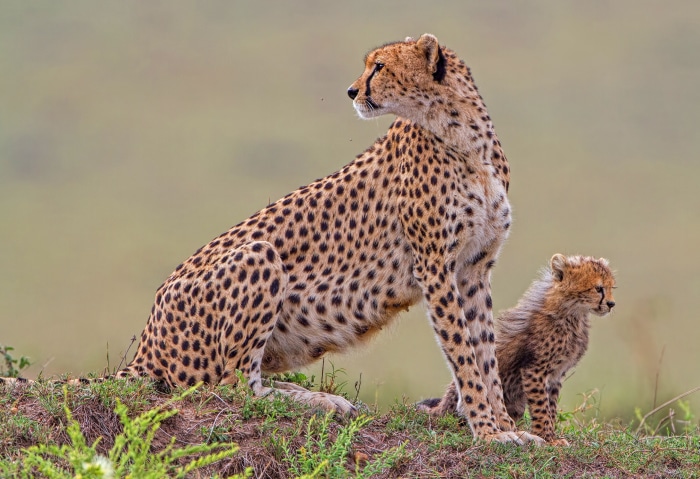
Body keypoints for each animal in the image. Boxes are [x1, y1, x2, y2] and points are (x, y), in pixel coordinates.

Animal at [1, 34, 540, 444]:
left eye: (380, 66)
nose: (351, 90)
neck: (463, 135)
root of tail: (146, 343)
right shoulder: (436, 267)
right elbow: (464, 354)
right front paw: (489, 432)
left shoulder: (473, 268)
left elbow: (484, 350)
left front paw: (505, 427)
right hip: (258, 256)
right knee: (232, 387)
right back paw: (321, 401)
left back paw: (326, 400)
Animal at [417, 254, 616, 445]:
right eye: (598, 288)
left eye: (611, 287)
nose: (611, 304)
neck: (573, 314)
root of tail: (440, 408)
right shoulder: (534, 370)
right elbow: (541, 407)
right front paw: (547, 438)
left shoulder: (555, 375)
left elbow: (551, 407)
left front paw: (551, 436)